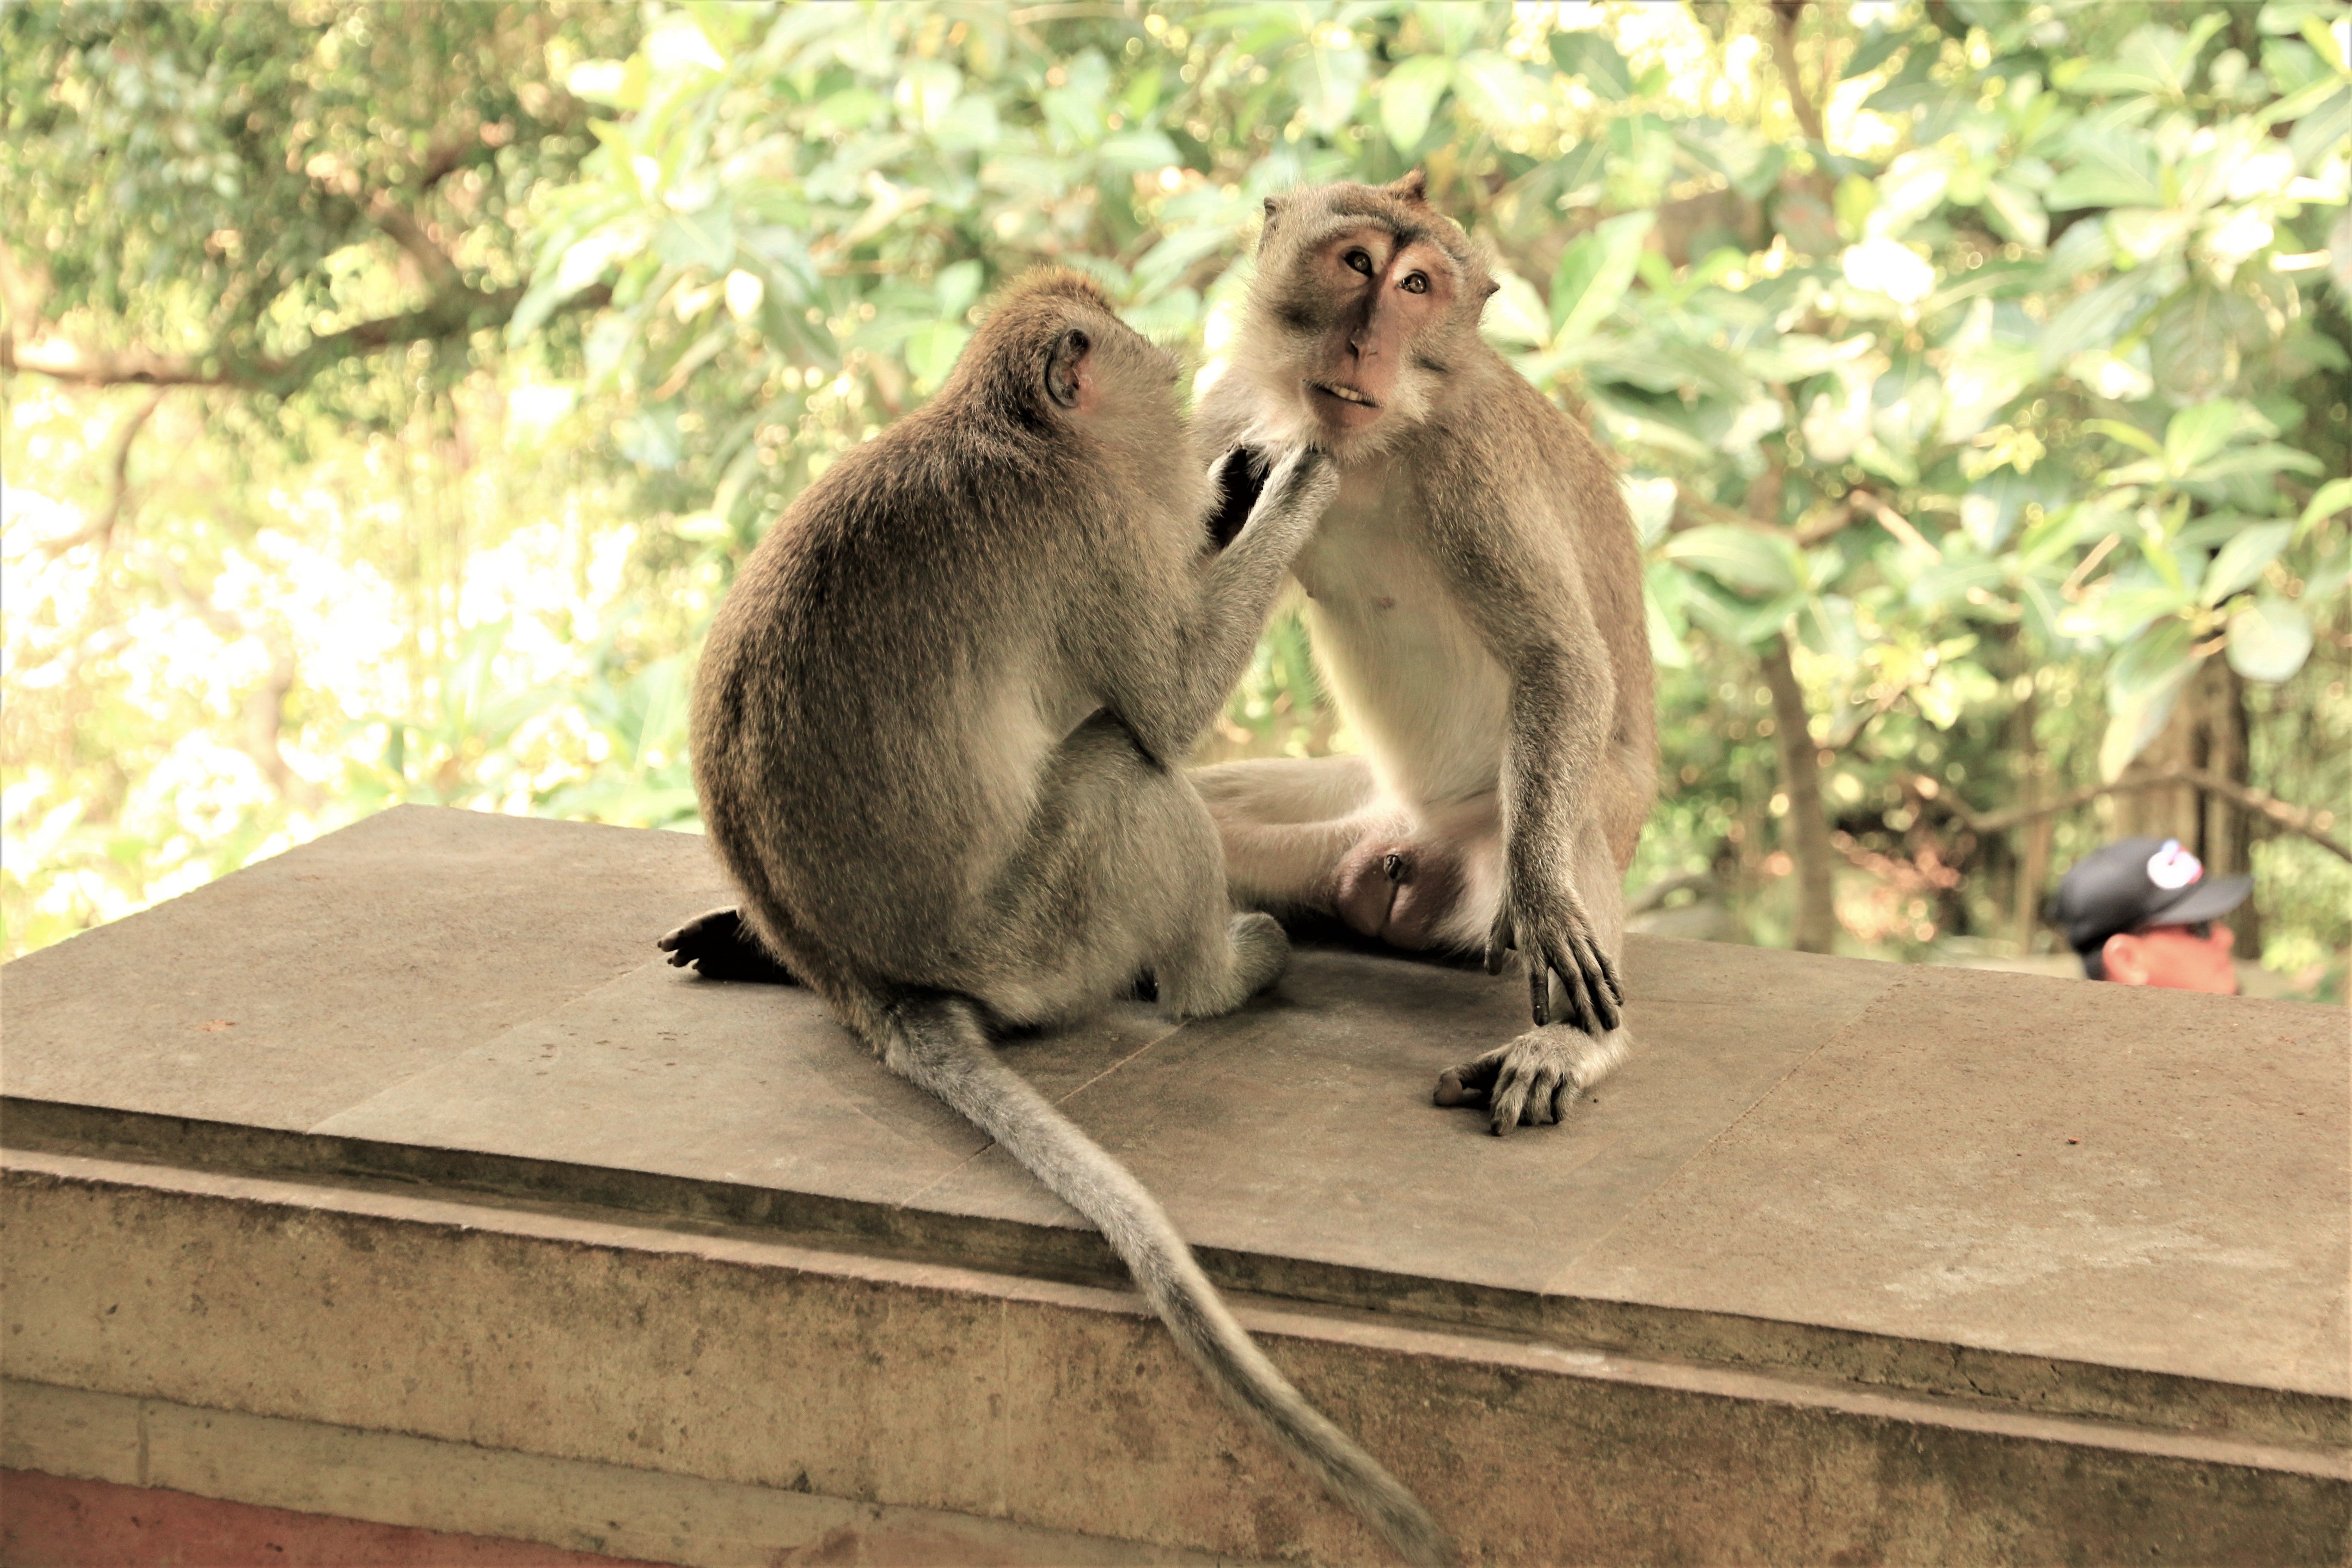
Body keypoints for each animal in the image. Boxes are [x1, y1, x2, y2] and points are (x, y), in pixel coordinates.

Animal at [660, 271, 1449, 1567]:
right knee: (1126, 770)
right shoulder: (1088, 532)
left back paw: (750, 946)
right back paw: (1217, 977)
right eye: (1154, 376)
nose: (1186, 423)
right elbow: (1168, 701)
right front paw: (1296, 479)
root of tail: (875, 990)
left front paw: (1242, 480)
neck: (1010, 427)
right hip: (1040, 934)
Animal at [1187, 171, 1659, 1138]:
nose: (1367, 344)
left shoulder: (1471, 464)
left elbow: (1559, 660)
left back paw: (1569, 1042)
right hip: (1346, 822)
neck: (1371, 447)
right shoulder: (1232, 411)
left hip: (1541, 832)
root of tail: (1407, 844)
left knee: (1574, 815)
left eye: (1416, 287)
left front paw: (1548, 906)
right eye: (1356, 263)